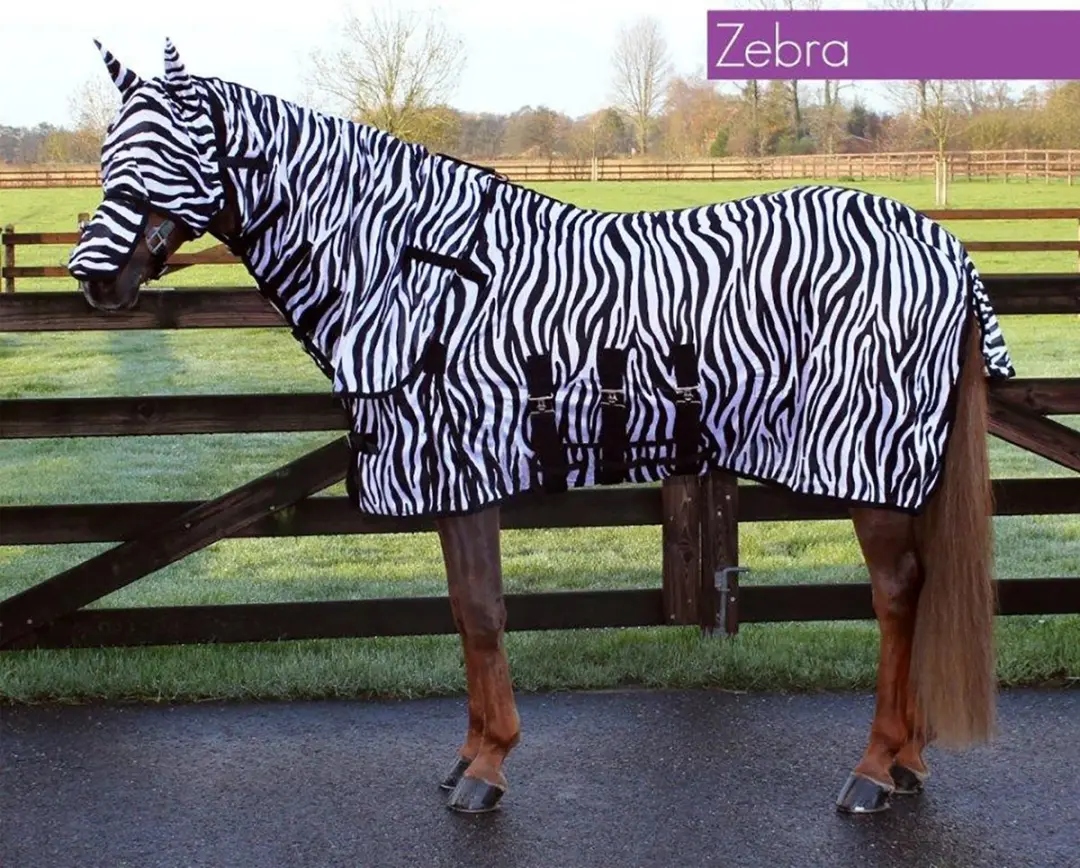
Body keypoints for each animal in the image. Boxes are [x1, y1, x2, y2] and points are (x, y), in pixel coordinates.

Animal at [70, 39, 1013, 815]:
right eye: (110, 154)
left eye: (164, 153)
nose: (94, 279)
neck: (412, 272)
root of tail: (941, 244)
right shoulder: (449, 476)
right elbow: (464, 611)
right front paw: (471, 755)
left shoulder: (462, 465)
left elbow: (484, 613)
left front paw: (488, 769)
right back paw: (908, 764)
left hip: (872, 463)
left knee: (899, 596)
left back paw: (876, 770)